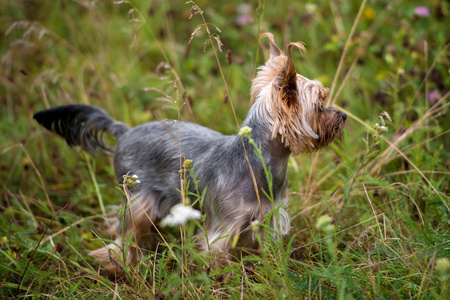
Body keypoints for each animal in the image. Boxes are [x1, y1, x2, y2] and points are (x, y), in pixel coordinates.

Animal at [33, 32, 346, 272]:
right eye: (320, 106)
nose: (343, 115)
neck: (259, 161)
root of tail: (124, 130)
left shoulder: (268, 219)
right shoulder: (223, 228)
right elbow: (216, 256)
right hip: (139, 198)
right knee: (127, 233)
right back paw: (120, 262)